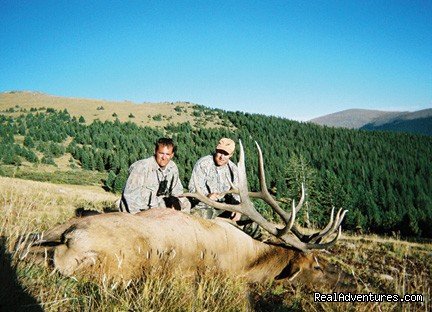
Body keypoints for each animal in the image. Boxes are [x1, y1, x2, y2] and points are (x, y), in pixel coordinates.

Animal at [18, 141, 348, 286]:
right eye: (316, 266)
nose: (341, 282)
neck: (251, 261)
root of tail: (71, 237)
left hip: (55, 230)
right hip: (109, 268)